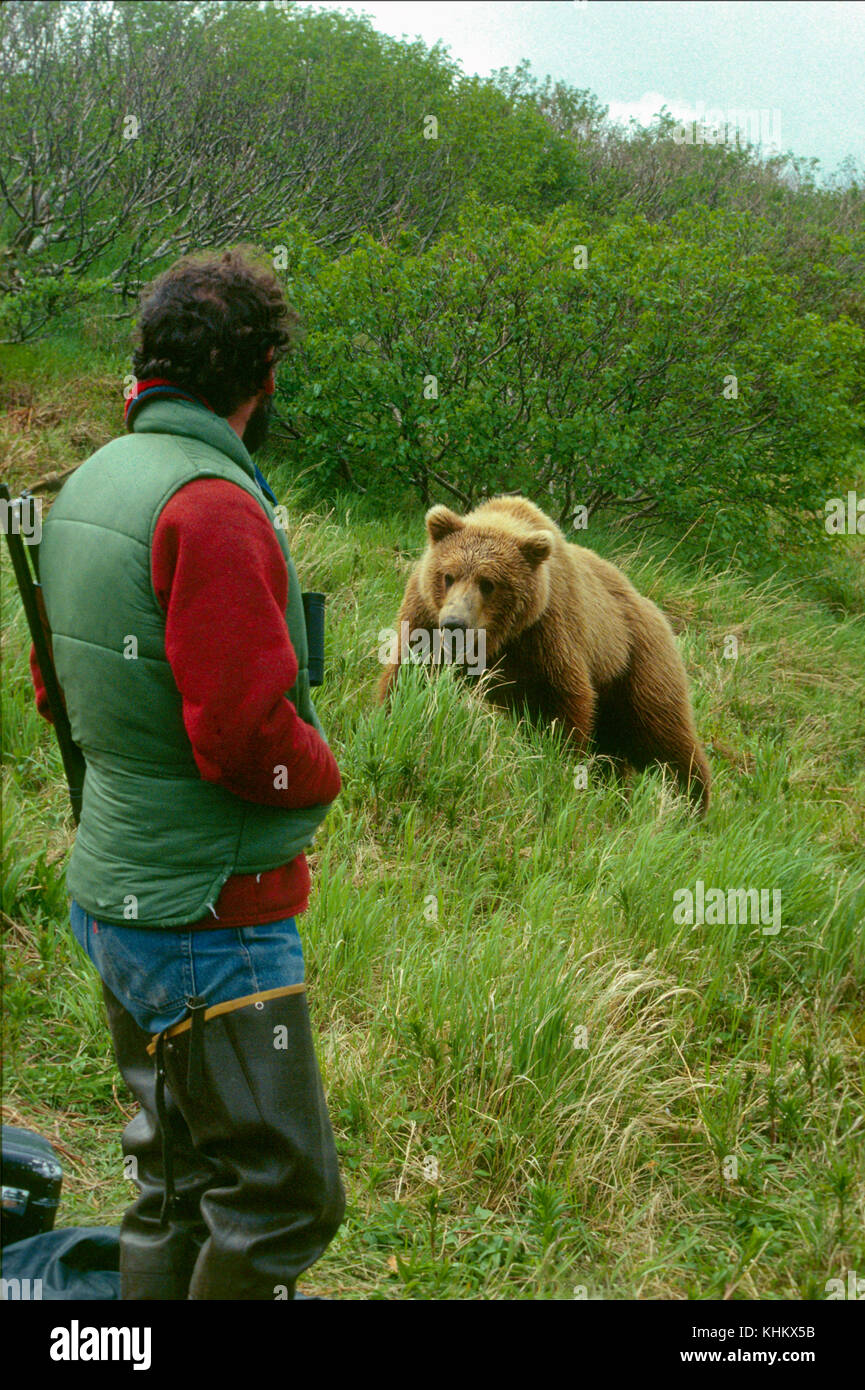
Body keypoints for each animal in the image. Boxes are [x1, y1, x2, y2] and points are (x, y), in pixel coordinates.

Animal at [378, 492, 712, 811]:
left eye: (488, 583)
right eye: (448, 575)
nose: (454, 623)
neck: (498, 639)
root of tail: (658, 613)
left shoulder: (548, 632)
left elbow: (564, 703)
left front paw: (560, 766)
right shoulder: (425, 617)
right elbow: (408, 675)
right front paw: (389, 719)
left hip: (637, 665)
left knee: (664, 737)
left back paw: (692, 803)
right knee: (616, 748)